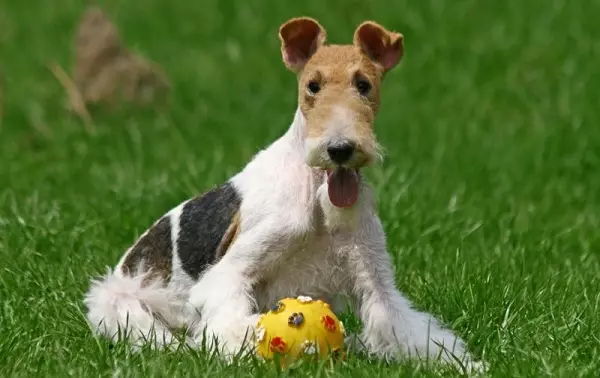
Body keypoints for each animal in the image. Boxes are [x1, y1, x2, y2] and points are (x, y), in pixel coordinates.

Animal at [84, 17, 486, 372]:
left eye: (364, 84)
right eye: (312, 86)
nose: (339, 149)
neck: (320, 198)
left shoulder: (374, 281)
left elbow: (408, 329)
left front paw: (467, 364)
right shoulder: (233, 270)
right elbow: (237, 320)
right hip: (119, 304)